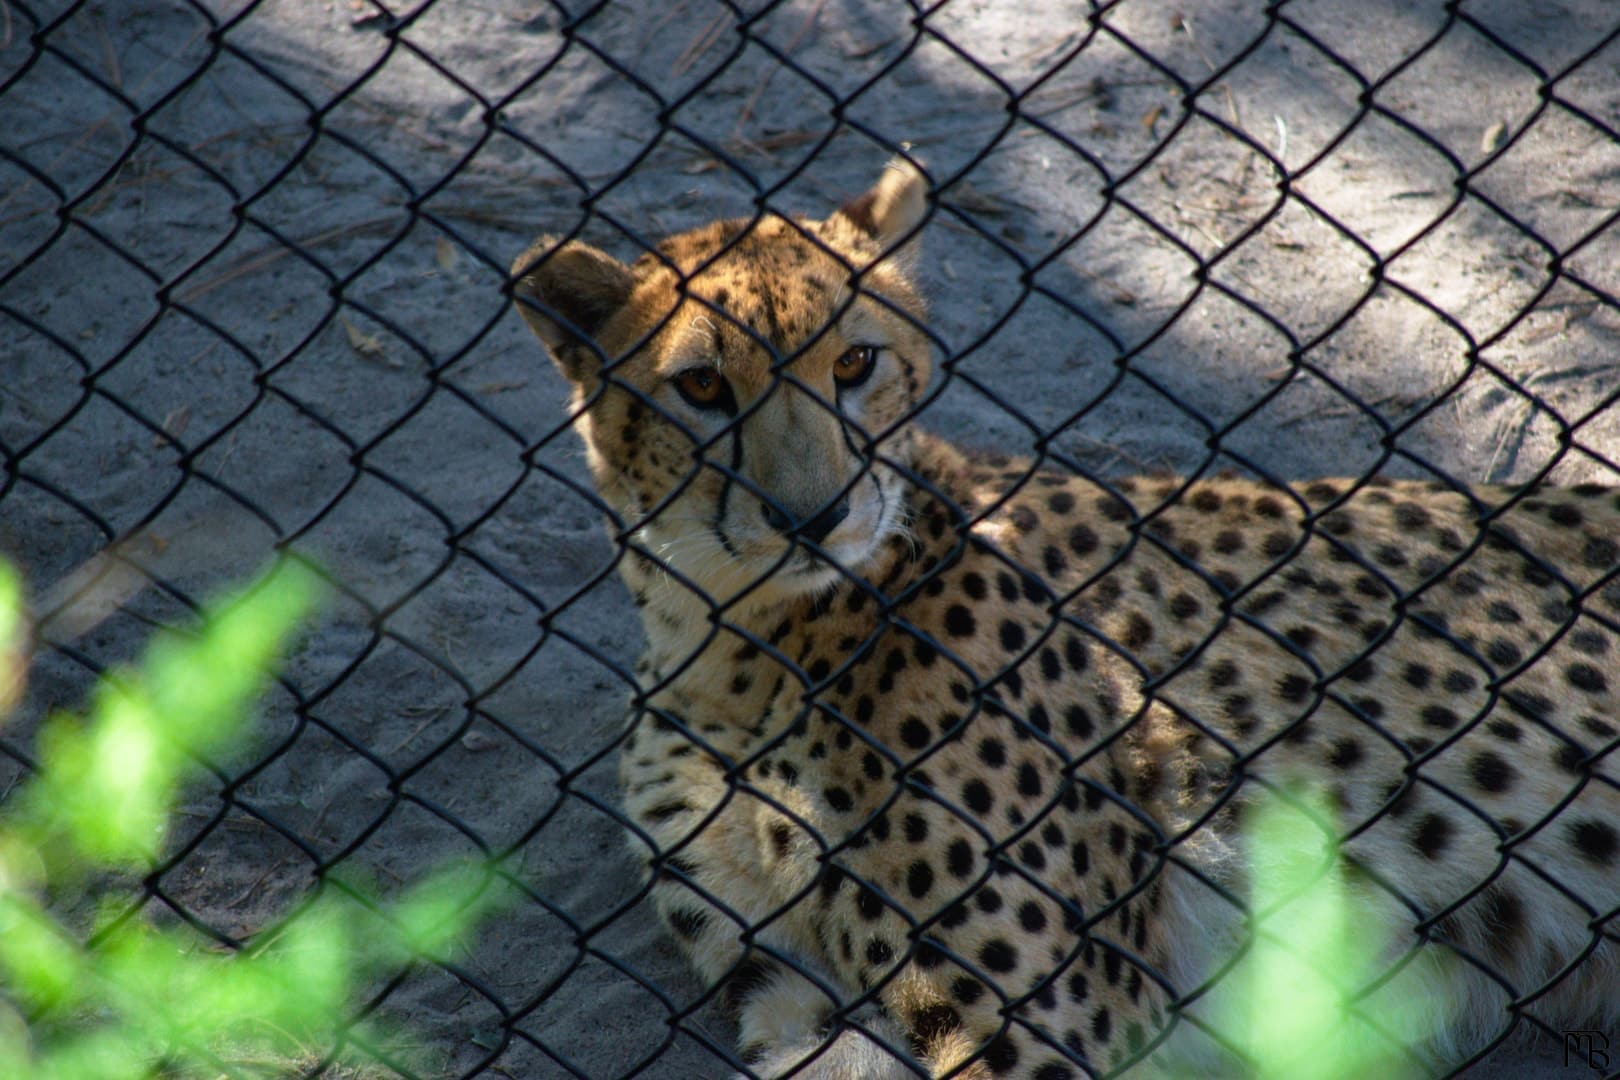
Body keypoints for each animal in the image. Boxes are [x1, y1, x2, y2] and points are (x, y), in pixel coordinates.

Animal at [508, 156, 1620, 1075]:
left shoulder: (1034, 1024)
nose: (815, 514)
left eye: (854, 364)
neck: (735, 642)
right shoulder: (799, 999)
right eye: (701, 385)